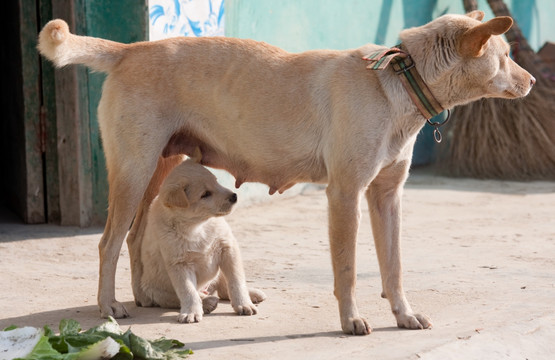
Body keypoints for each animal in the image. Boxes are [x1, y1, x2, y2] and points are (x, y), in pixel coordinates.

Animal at [138, 152, 266, 324]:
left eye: (216, 181)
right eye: (205, 194)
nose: (234, 196)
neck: (197, 226)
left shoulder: (228, 248)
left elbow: (236, 280)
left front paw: (244, 304)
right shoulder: (179, 263)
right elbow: (188, 291)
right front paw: (191, 312)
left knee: (224, 288)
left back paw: (252, 294)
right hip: (156, 291)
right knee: (181, 297)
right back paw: (207, 302)